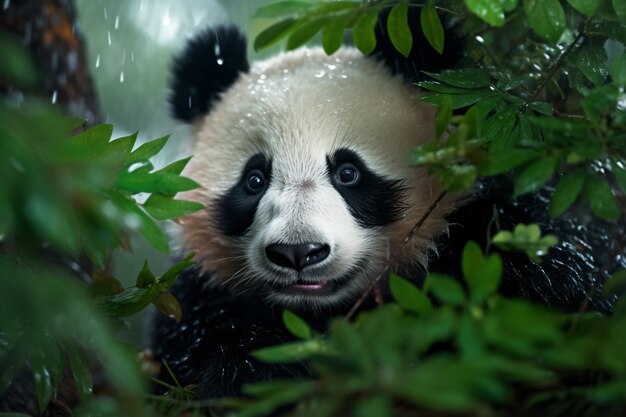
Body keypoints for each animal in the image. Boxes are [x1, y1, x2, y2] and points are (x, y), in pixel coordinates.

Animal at [150, 18, 620, 396]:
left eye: (348, 173)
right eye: (254, 180)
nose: (298, 253)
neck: (328, 311)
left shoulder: (503, 229)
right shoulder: (199, 296)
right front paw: (256, 370)